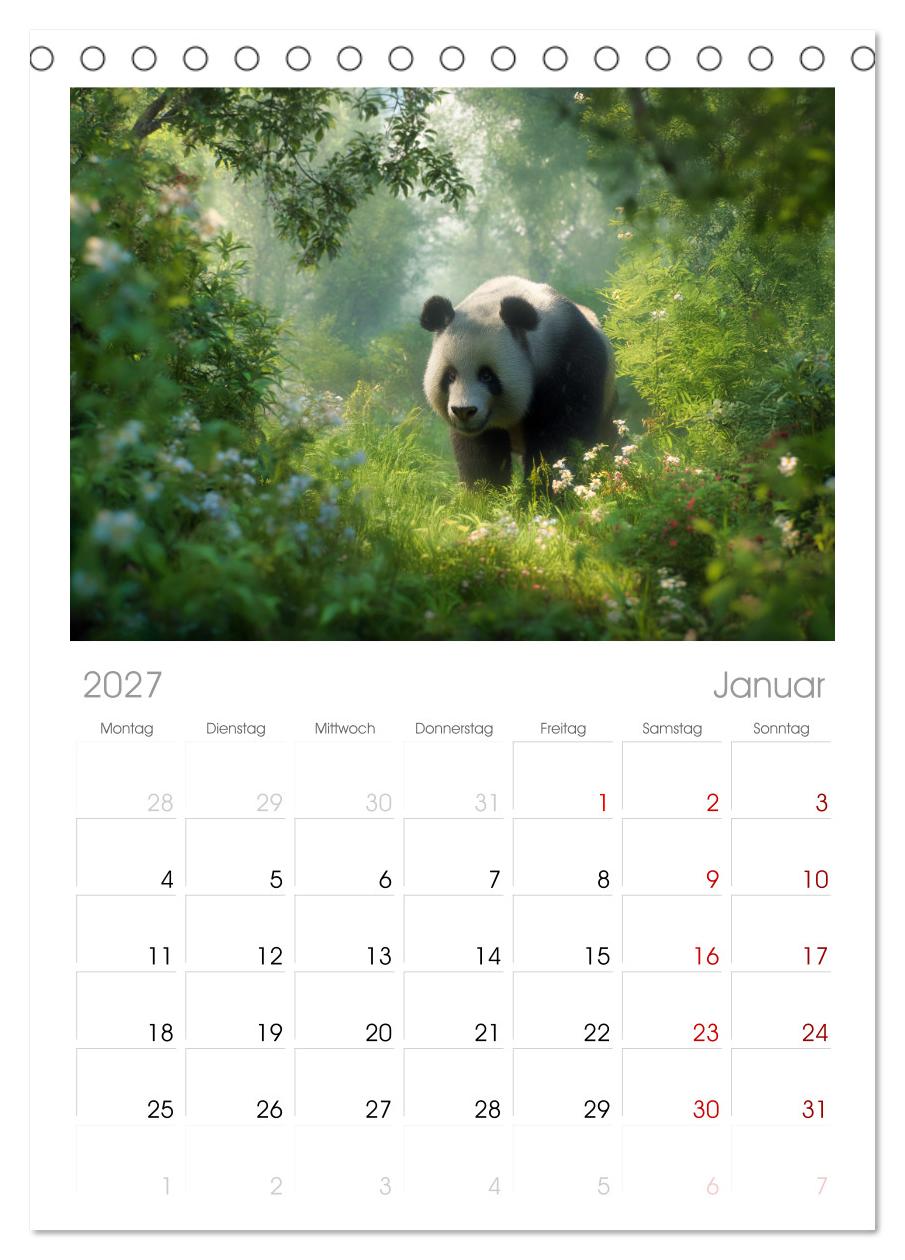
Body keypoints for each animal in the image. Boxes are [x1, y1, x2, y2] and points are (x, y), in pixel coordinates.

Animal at [420, 276, 617, 488]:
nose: (463, 411)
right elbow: (479, 453)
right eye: (450, 375)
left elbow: (563, 435)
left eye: (487, 375)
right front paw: (486, 491)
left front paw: (546, 488)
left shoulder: (570, 360)